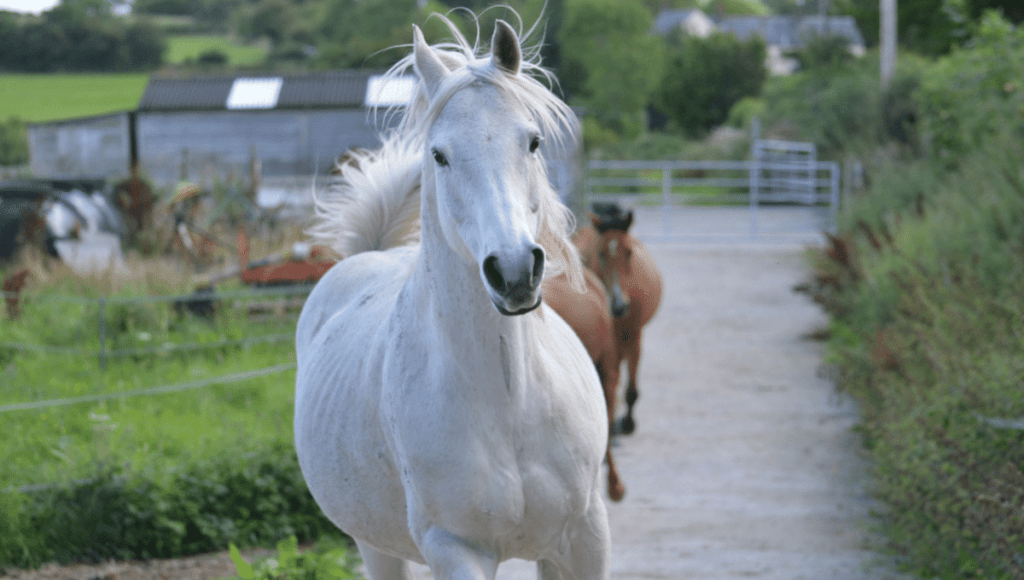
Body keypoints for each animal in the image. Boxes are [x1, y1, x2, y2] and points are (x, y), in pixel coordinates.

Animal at [296, 13, 610, 580]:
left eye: (533, 141)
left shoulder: (584, 538)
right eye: (439, 155)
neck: (510, 400)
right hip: (375, 546)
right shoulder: (455, 548)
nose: (514, 271)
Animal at [577, 204, 663, 436]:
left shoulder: (634, 337)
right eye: (600, 253)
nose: (619, 305)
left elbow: (631, 388)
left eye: (629, 252)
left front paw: (628, 423)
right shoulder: (610, 344)